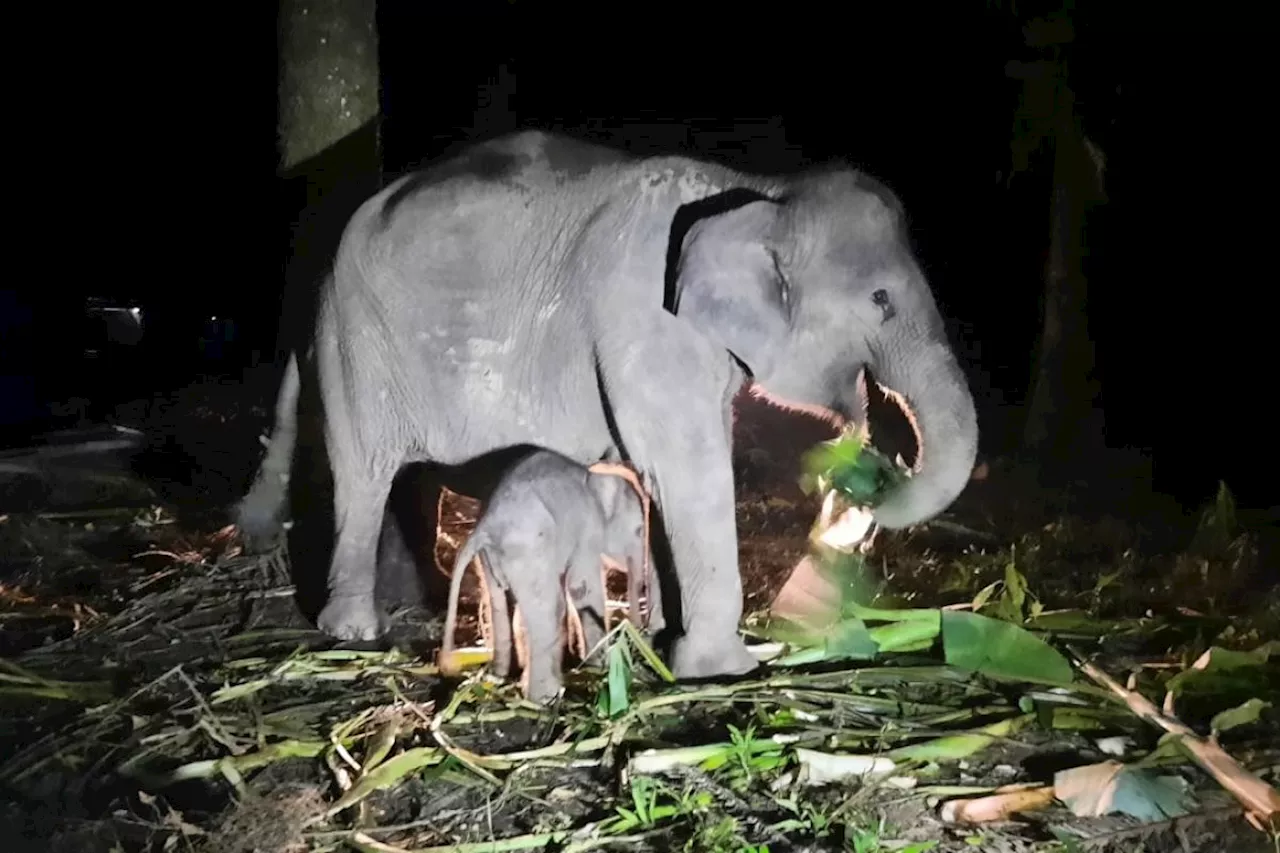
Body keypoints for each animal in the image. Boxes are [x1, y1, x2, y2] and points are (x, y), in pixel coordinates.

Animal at [440, 448, 660, 701]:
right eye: (639, 530)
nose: (641, 632)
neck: (596, 476)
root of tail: (485, 528)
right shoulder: (586, 531)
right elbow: (580, 587)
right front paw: (599, 666)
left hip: (490, 558)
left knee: (499, 602)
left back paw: (499, 676)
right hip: (531, 548)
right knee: (549, 607)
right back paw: (545, 696)